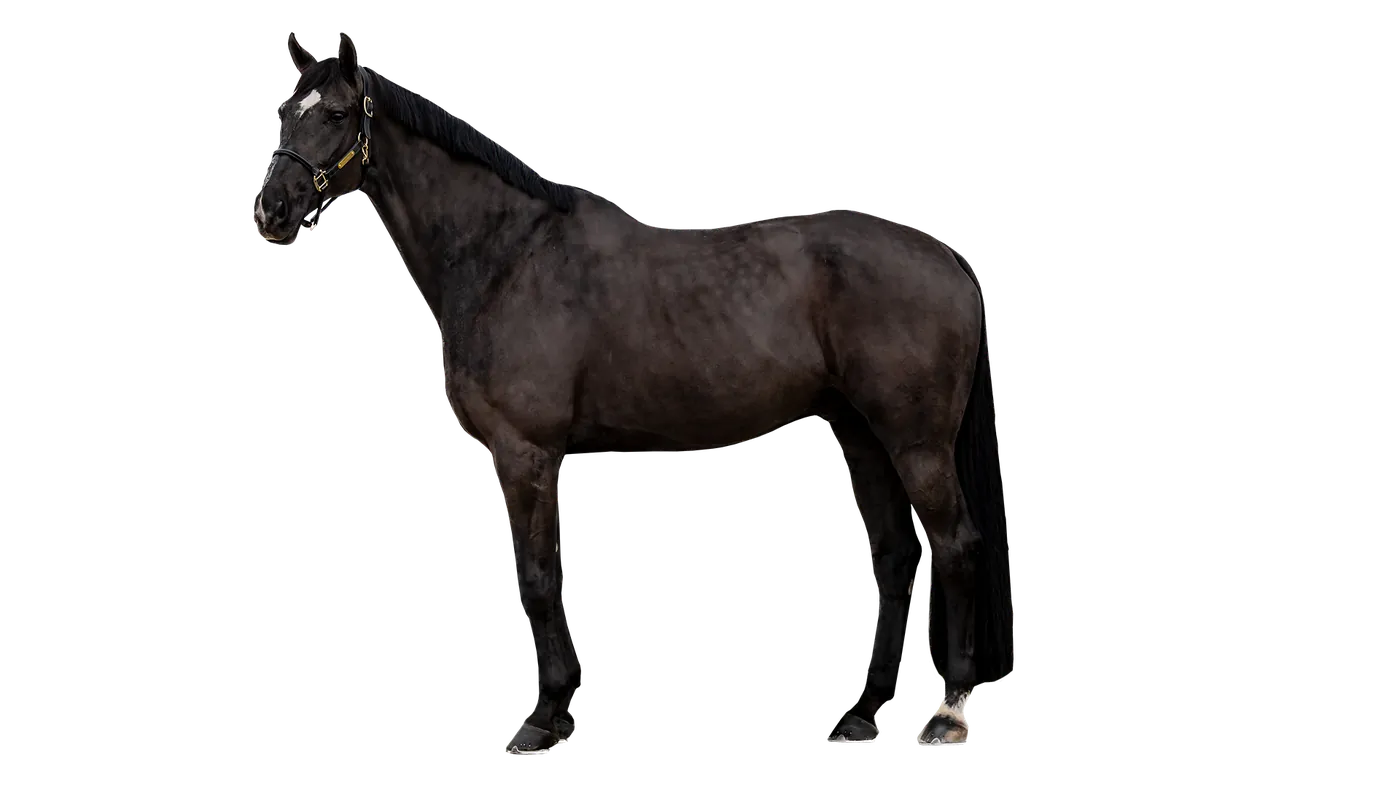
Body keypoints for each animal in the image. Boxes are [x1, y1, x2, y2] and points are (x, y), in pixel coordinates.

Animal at [251, 32, 1012, 753]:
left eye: (339, 115)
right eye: (285, 112)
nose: (272, 210)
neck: (506, 256)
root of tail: (949, 259)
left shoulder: (526, 451)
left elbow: (538, 576)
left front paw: (545, 717)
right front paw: (557, 710)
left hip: (916, 443)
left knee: (954, 548)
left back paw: (949, 712)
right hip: (861, 433)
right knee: (895, 555)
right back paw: (864, 712)